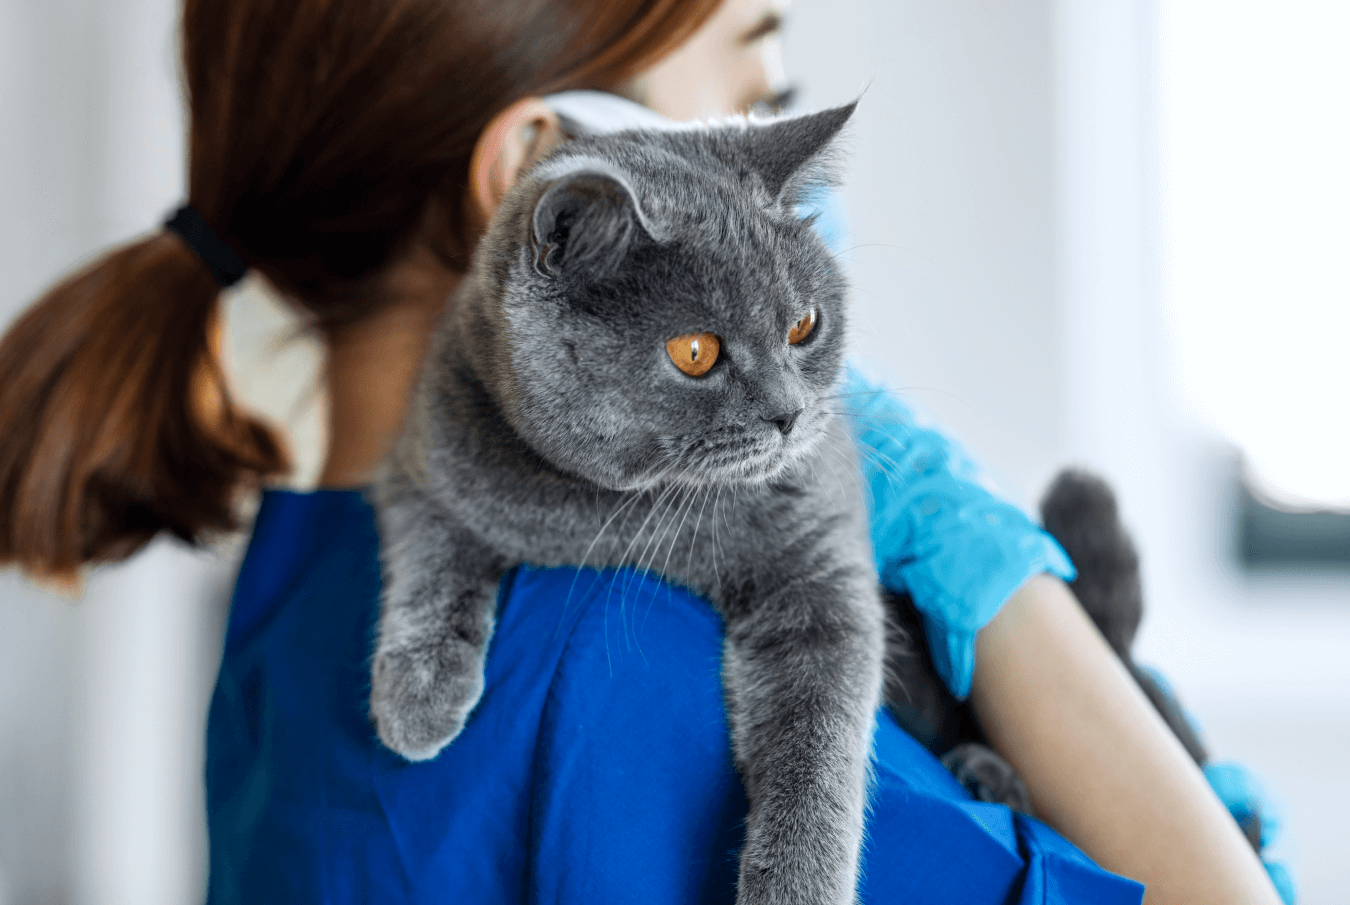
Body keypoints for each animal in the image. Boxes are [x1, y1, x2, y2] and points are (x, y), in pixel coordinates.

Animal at [369, 102, 880, 902]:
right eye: (696, 352)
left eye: (804, 326)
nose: (791, 415)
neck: (607, 511)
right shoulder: (421, 464)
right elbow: (433, 556)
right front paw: (418, 694)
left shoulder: (818, 568)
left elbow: (819, 738)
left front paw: (796, 886)